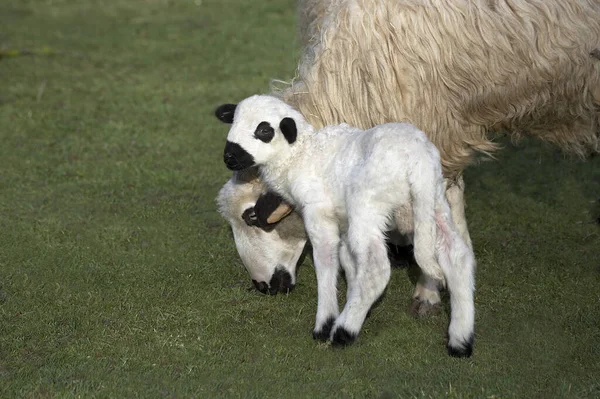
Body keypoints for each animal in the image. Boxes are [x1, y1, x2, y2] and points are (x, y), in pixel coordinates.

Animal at [218, 95, 476, 358]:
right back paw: (461, 340)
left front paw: (326, 322)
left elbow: (326, 262)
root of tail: (418, 161)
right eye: (233, 121)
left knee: (376, 268)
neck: (300, 156)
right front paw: (355, 302)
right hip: (433, 205)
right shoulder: (343, 223)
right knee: (458, 257)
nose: (229, 157)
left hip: (367, 207)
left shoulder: (318, 214)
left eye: (264, 130)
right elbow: (349, 262)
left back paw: (344, 330)